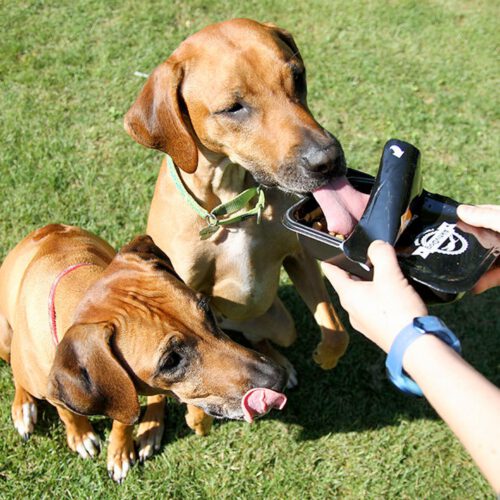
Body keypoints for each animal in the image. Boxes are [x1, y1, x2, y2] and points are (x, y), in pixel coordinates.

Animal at [0, 225, 286, 482]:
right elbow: (68, 412)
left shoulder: (122, 391)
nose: (277, 378)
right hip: (6, 341)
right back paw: (23, 407)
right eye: (171, 361)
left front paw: (120, 452)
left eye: (206, 310)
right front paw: (80, 435)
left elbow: (124, 418)